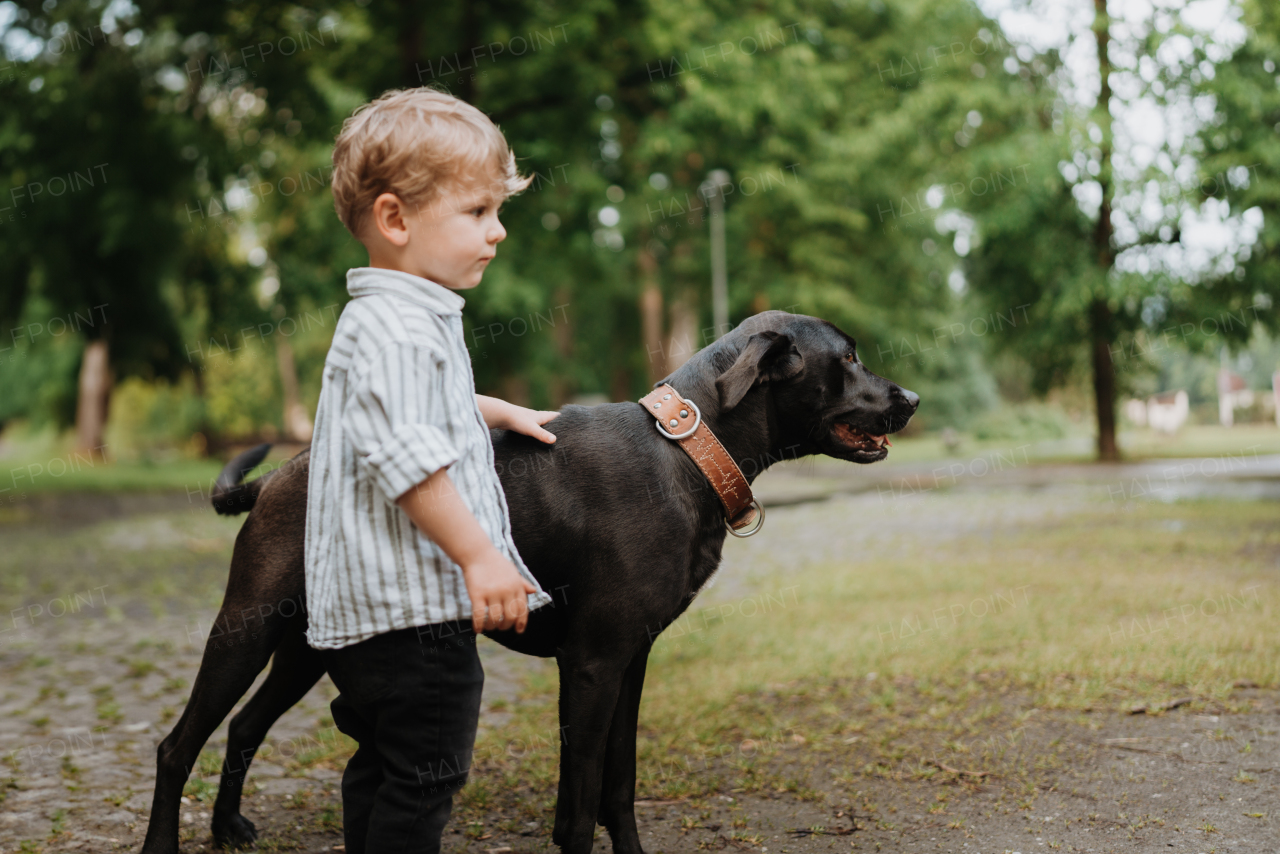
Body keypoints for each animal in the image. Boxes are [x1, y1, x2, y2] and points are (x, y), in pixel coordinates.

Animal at [140, 311, 916, 850]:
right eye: (848, 358)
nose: (909, 397)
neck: (686, 453)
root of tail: (279, 476)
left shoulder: (632, 661)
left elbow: (617, 790)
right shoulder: (592, 665)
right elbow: (577, 807)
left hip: (306, 649)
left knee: (244, 726)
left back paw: (228, 826)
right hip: (245, 629)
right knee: (177, 747)